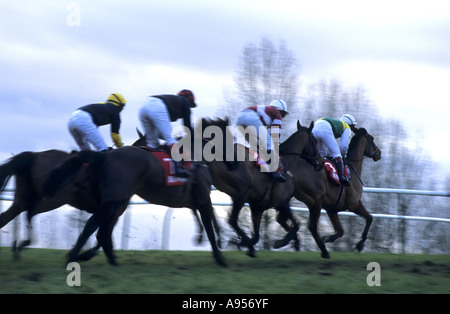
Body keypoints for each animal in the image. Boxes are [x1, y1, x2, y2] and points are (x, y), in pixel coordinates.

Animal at [200, 119, 324, 256]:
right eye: (315, 140)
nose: (321, 162)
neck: (286, 165)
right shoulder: (281, 203)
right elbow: (297, 225)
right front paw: (281, 242)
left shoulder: (257, 208)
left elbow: (257, 236)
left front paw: (242, 242)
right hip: (241, 193)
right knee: (232, 220)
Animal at [288, 126, 380, 258]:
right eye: (371, 139)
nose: (379, 153)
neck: (352, 168)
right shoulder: (354, 204)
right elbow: (370, 218)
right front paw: (359, 244)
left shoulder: (332, 209)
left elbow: (340, 231)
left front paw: (327, 238)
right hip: (315, 201)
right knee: (311, 226)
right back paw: (322, 250)